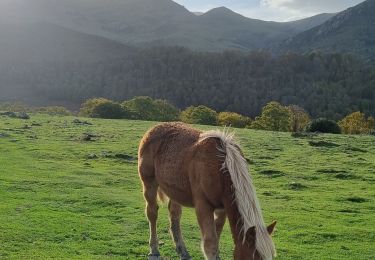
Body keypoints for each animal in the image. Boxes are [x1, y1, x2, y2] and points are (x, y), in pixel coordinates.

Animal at [138, 122, 276, 260]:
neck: (221, 168)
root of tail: (153, 129)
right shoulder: (203, 206)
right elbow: (210, 244)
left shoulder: (222, 208)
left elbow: (217, 236)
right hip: (149, 183)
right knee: (152, 213)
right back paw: (154, 250)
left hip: (174, 190)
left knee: (174, 215)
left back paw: (182, 251)